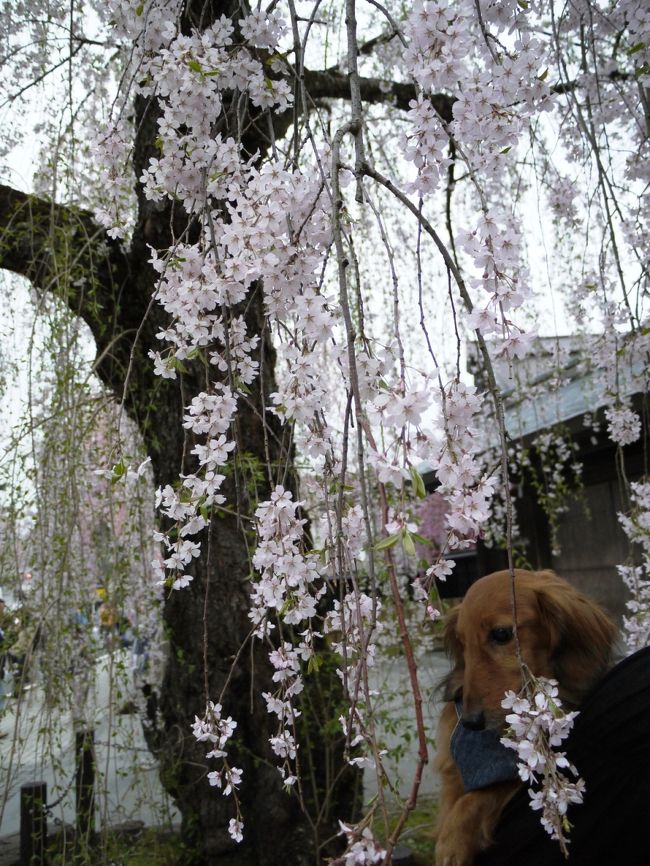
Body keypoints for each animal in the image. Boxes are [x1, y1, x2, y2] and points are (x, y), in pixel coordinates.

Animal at [432, 568, 616, 864]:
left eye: (501, 634)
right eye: (461, 642)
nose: (470, 722)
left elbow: (482, 794)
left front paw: (452, 842)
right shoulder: (452, 771)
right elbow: (454, 800)